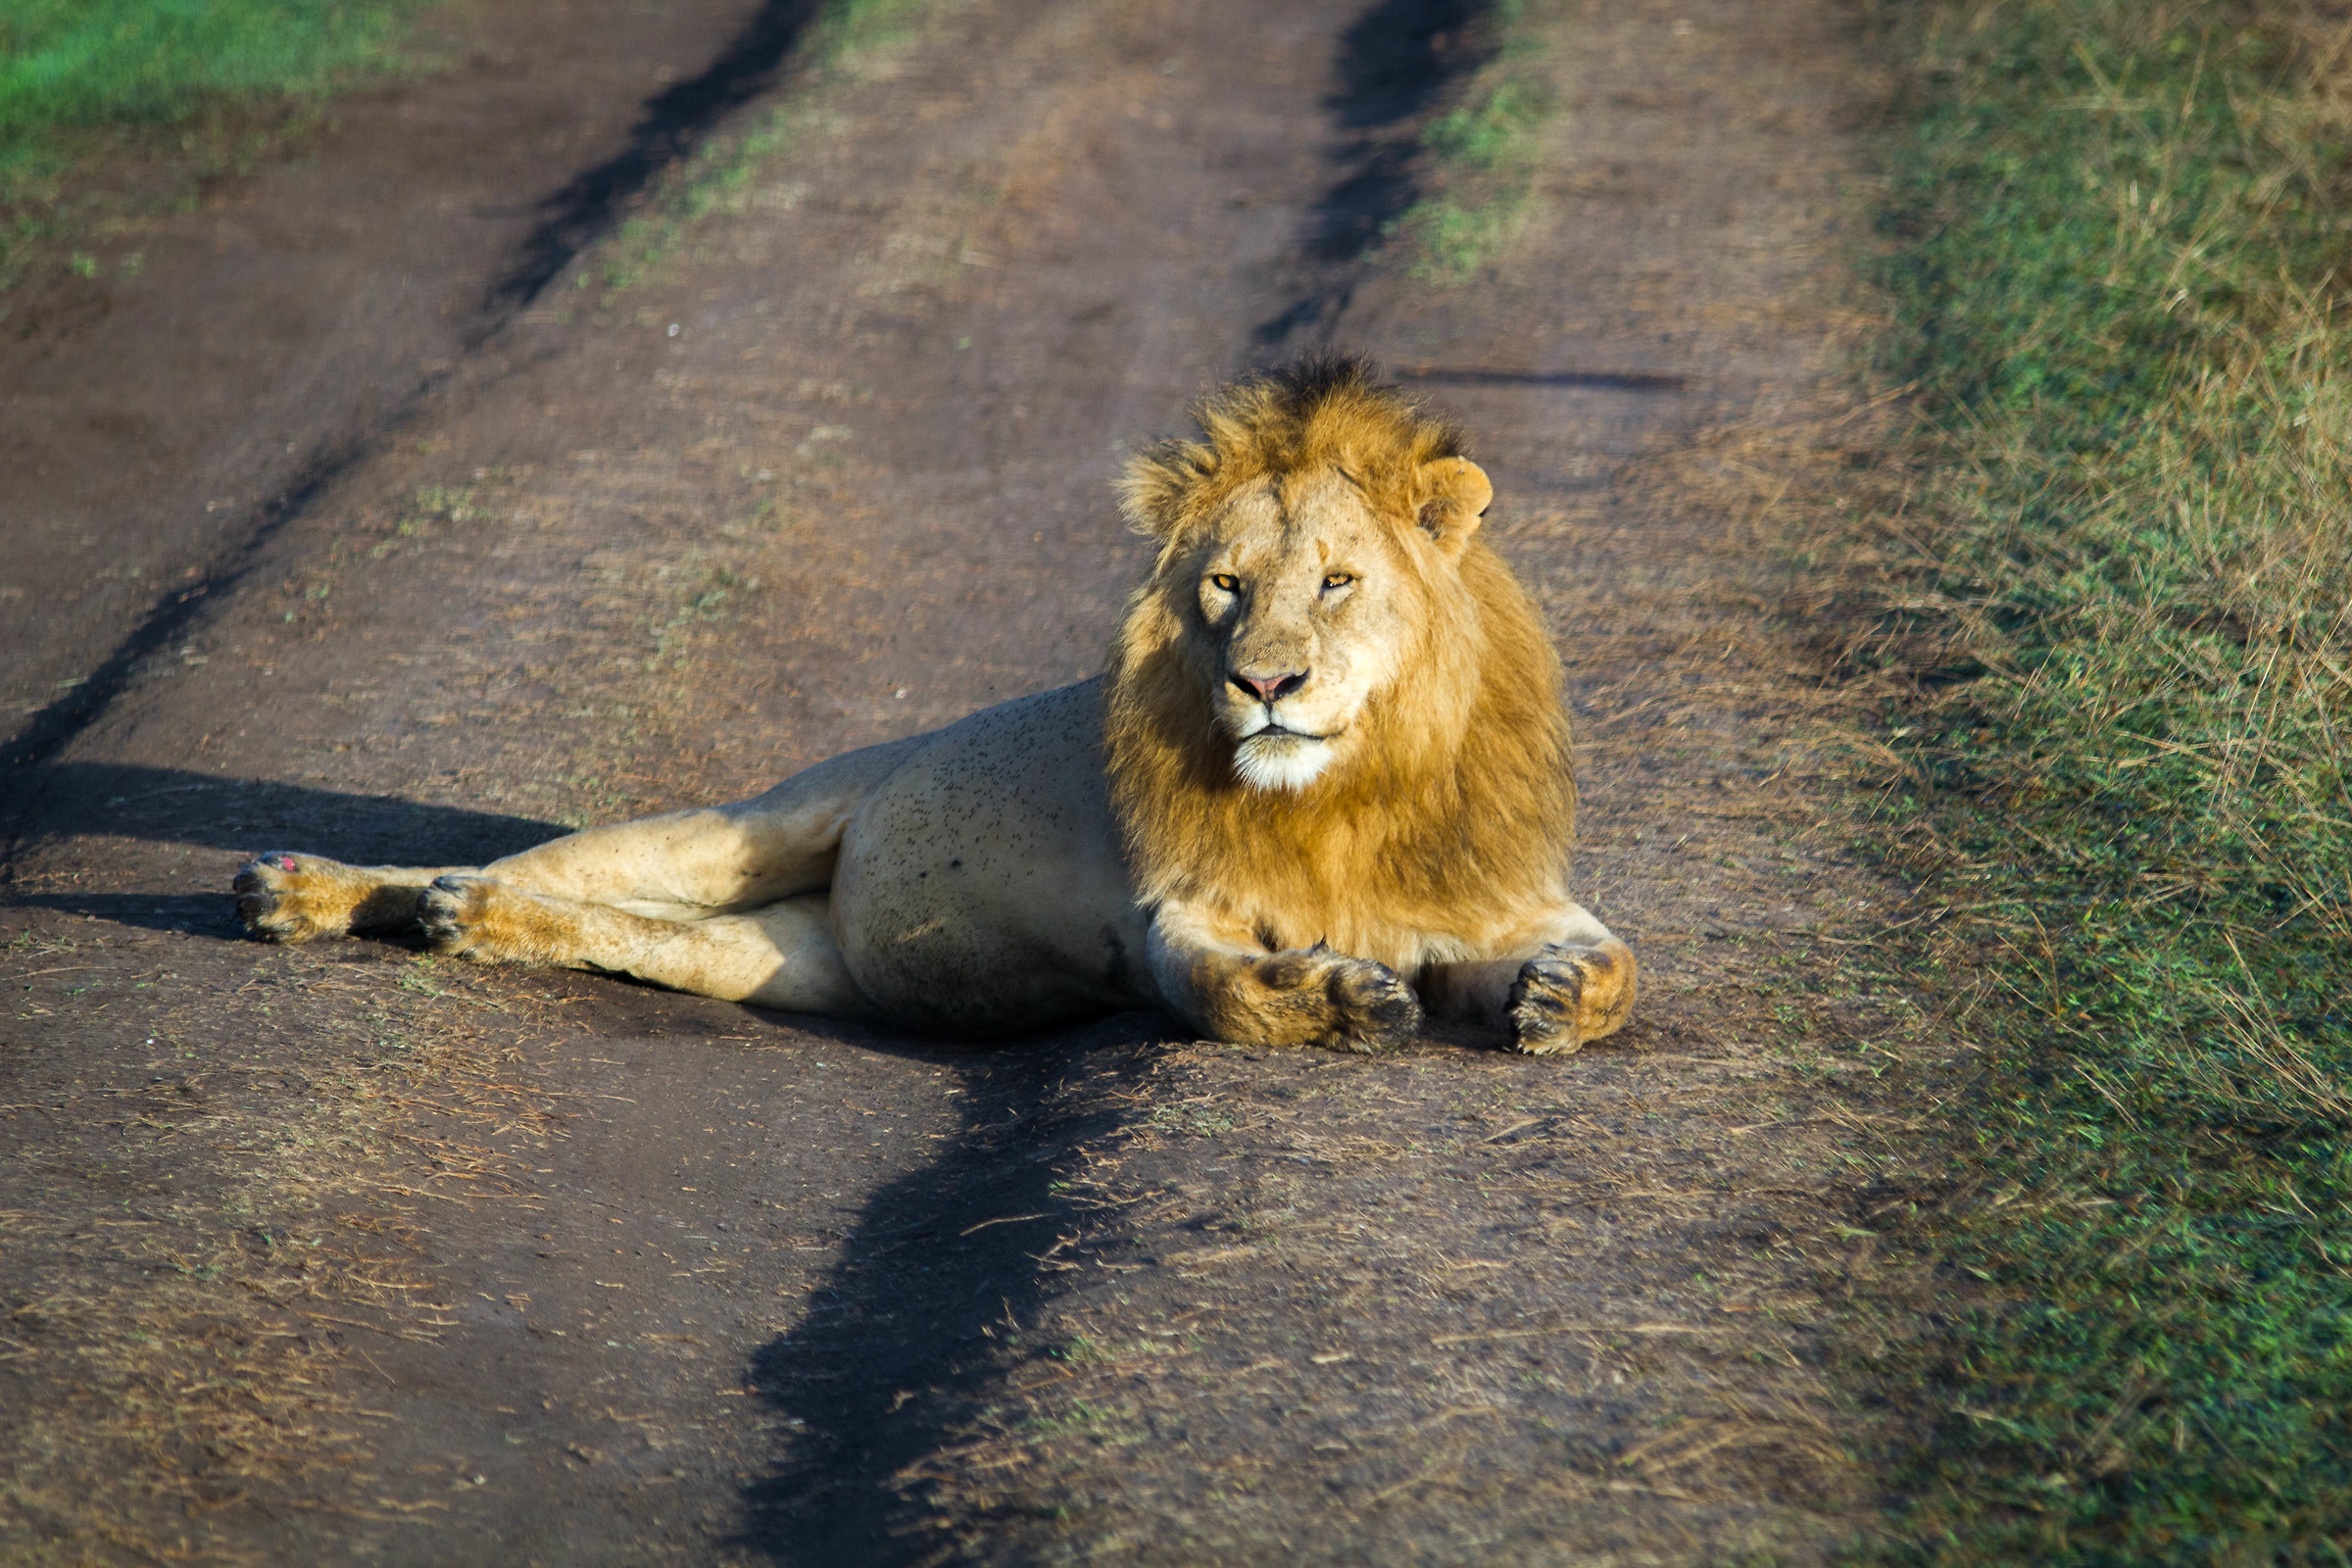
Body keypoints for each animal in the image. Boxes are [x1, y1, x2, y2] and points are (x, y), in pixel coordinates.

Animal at [233, 359, 1635, 1053]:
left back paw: (463, 920)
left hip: (774, 955)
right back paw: (316, 892)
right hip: (748, 823)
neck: (1350, 794)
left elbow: (1620, 964)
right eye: (1226, 586)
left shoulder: (1507, 898)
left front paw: (1559, 1002)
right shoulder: (1179, 913)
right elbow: (1226, 992)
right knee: (512, 859)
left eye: (1339, 581)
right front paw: (1345, 1000)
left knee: (617, 927)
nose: (1266, 684)